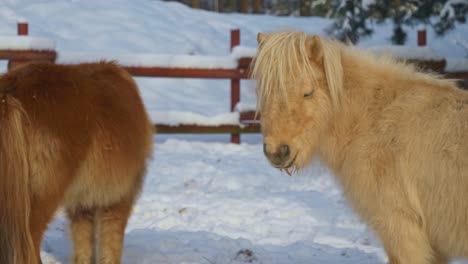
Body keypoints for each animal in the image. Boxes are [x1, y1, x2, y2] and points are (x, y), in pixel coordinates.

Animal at [0, 60, 154, 262]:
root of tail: (10, 92)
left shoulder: (82, 206)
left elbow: (84, 249)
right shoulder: (118, 199)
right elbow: (110, 248)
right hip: (39, 201)